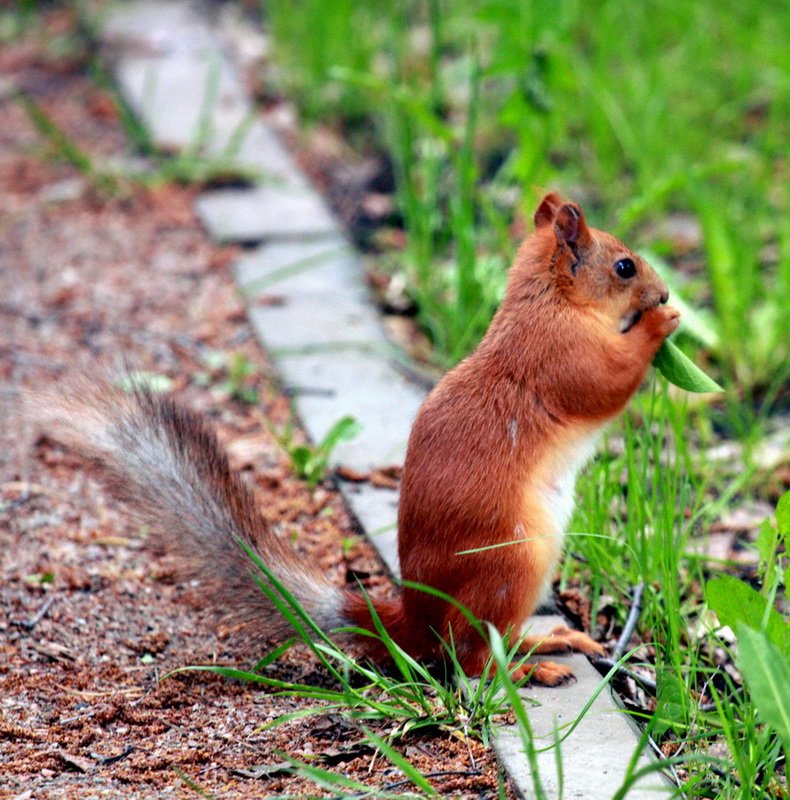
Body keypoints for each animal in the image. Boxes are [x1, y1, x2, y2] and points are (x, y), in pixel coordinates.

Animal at [41, 194, 680, 688]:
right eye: (625, 266)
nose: (666, 292)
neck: (548, 303)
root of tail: (415, 619)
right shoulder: (563, 358)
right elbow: (608, 382)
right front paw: (659, 326)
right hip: (510, 567)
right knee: (470, 661)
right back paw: (528, 669)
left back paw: (545, 642)